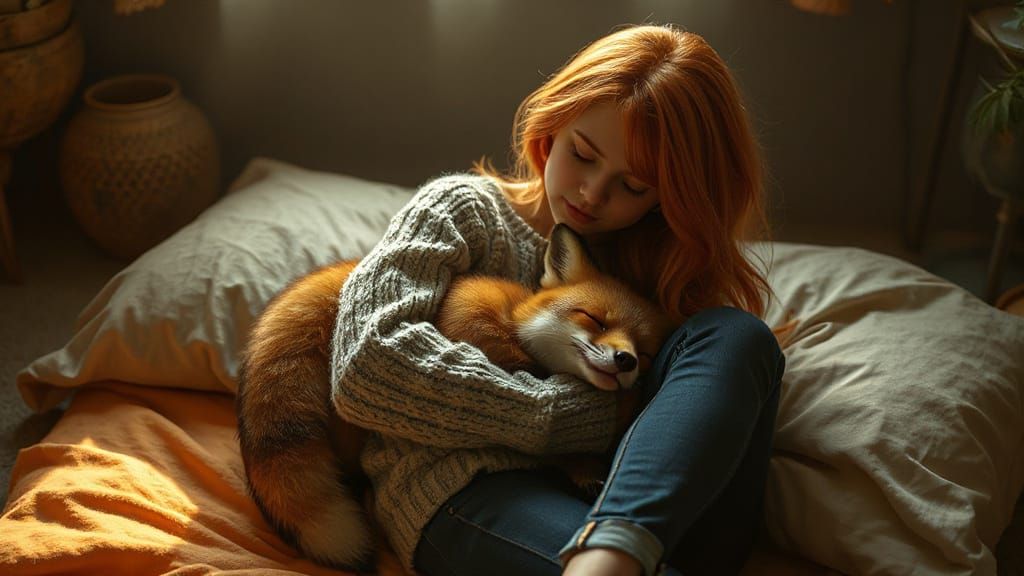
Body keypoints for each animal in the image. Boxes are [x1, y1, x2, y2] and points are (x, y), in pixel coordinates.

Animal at [236, 223, 675, 572]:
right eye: (594, 319)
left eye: (646, 353)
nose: (625, 360)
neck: (519, 321)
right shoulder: (468, 306)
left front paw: (584, 466)